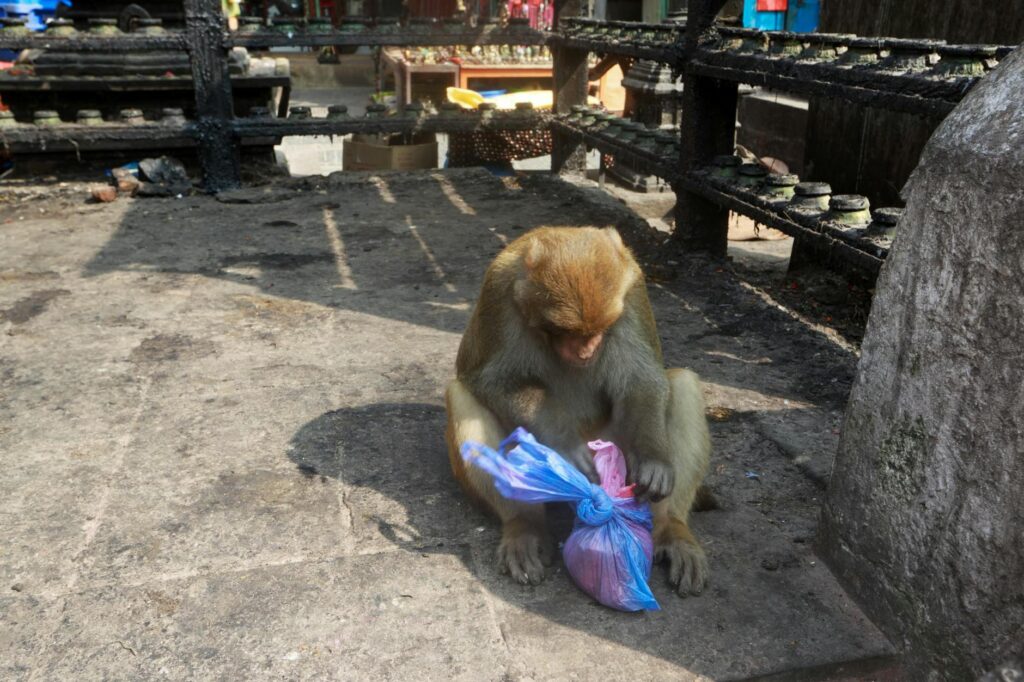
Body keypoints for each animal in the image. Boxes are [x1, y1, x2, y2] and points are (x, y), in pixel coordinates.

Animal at [445, 226, 711, 596]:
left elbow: (640, 378)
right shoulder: (497, 293)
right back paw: (523, 525)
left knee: (683, 383)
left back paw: (671, 530)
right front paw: (566, 449)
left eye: (597, 330)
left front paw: (654, 461)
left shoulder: (632, 289)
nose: (587, 349)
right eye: (565, 331)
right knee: (463, 396)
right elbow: (489, 381)